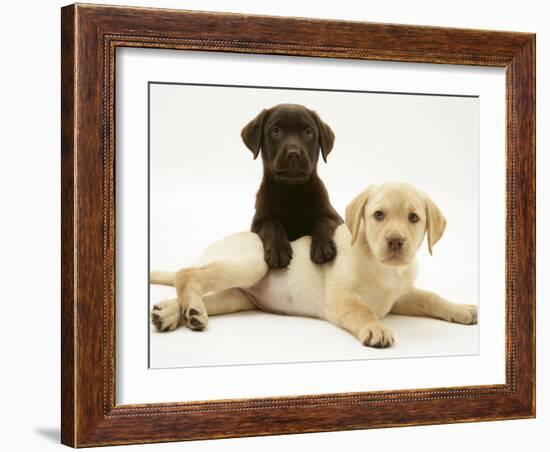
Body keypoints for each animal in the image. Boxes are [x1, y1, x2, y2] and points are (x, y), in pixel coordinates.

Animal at [151, 182, 478, 348]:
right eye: (378, 215)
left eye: (413, 218)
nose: (395, 241)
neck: (384, 269)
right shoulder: (341, 298)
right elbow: (362, 310)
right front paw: (375, 328)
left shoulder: (400, 297)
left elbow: (431, 298)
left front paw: (462, 309)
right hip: (252, 262)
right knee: (186, 274)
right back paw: (189, 309)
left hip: (236, 297)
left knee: (193, 293)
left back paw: (175, 313)